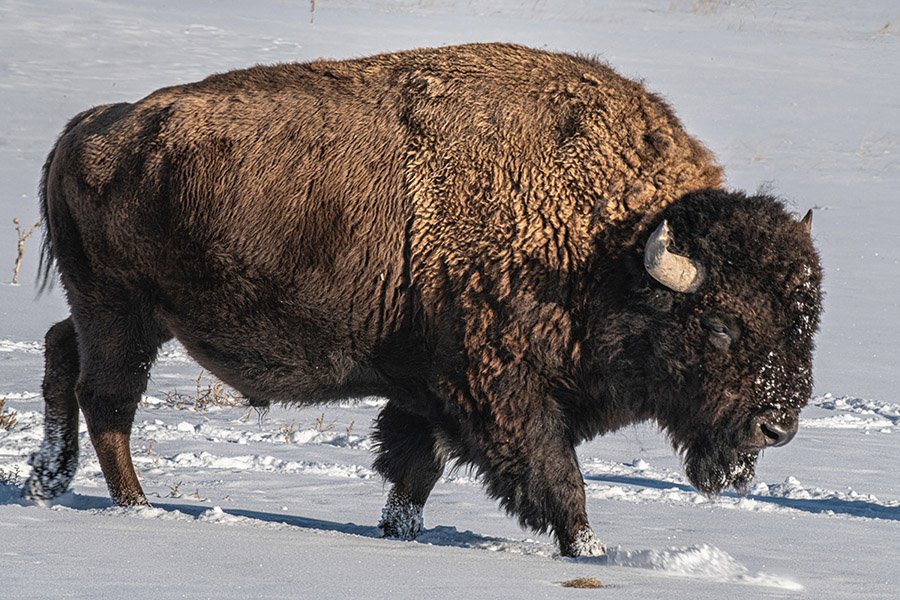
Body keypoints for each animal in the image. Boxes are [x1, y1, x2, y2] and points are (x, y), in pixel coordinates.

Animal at [25, 43, 821, 557]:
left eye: (804, 323)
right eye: (721, 327)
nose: (777, 426)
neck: (609, 247)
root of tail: (87, 128)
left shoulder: (428, 391)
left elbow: (414, 471)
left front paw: (397, 535)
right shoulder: (503, 395)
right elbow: (557, 480)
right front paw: (591, 552)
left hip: (118, 314)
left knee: (63, 353)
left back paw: (46, 482)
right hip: (122, 314)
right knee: (107, 400)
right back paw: (136, 508)